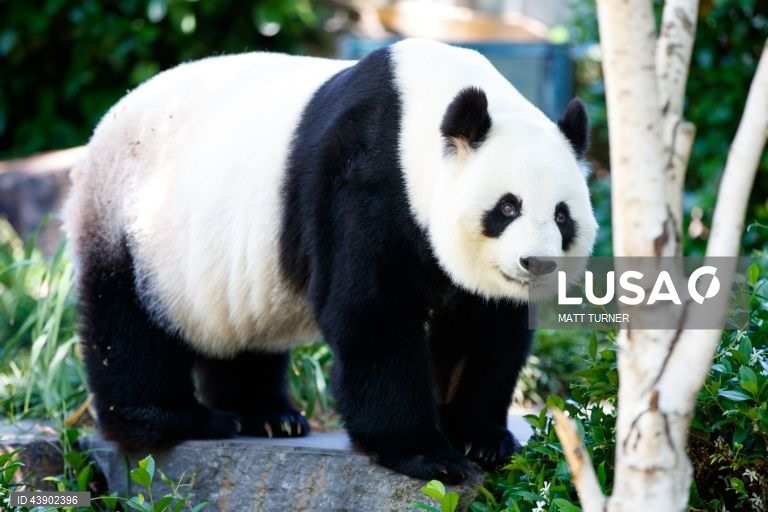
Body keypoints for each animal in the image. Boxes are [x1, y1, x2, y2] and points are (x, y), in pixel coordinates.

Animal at [64, 38, 597, 483]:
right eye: (507, 207)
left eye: (562, 214)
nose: (536, 264)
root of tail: (109, 119)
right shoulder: (364, 178)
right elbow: (372, 312)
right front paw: (426, 455)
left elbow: (484, 328)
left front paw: (481, 440)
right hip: (133, 218)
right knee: (128, 324)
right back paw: (179, 419)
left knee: (237, 335)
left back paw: (269, 416)